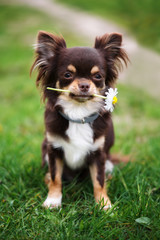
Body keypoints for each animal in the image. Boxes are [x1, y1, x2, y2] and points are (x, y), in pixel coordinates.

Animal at [31, 30, 129, 210]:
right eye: (67, 75)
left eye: (97, 76)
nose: (84, 85)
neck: (78, 115)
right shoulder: (53, 150)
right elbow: (56, 177)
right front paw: (53, 200)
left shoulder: (98, 154)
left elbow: (98, 181)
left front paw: (104, 204)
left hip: (108, 162)